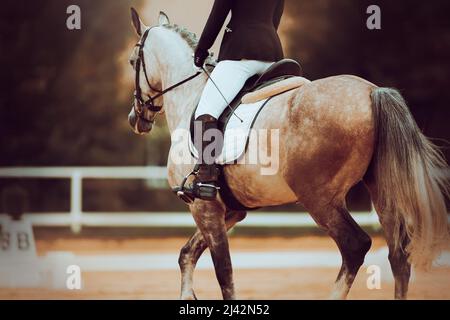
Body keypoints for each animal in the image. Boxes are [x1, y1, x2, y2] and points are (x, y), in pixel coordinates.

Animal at [128, 9, 448, 300]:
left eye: (132, 62)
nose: (135, 119)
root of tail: (372, 92)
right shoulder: (231, 209)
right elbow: (187, 254)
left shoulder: (205, 208)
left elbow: (224, 274)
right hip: (382, 192)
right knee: (399, 256)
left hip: (319, 198)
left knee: (355, 246)